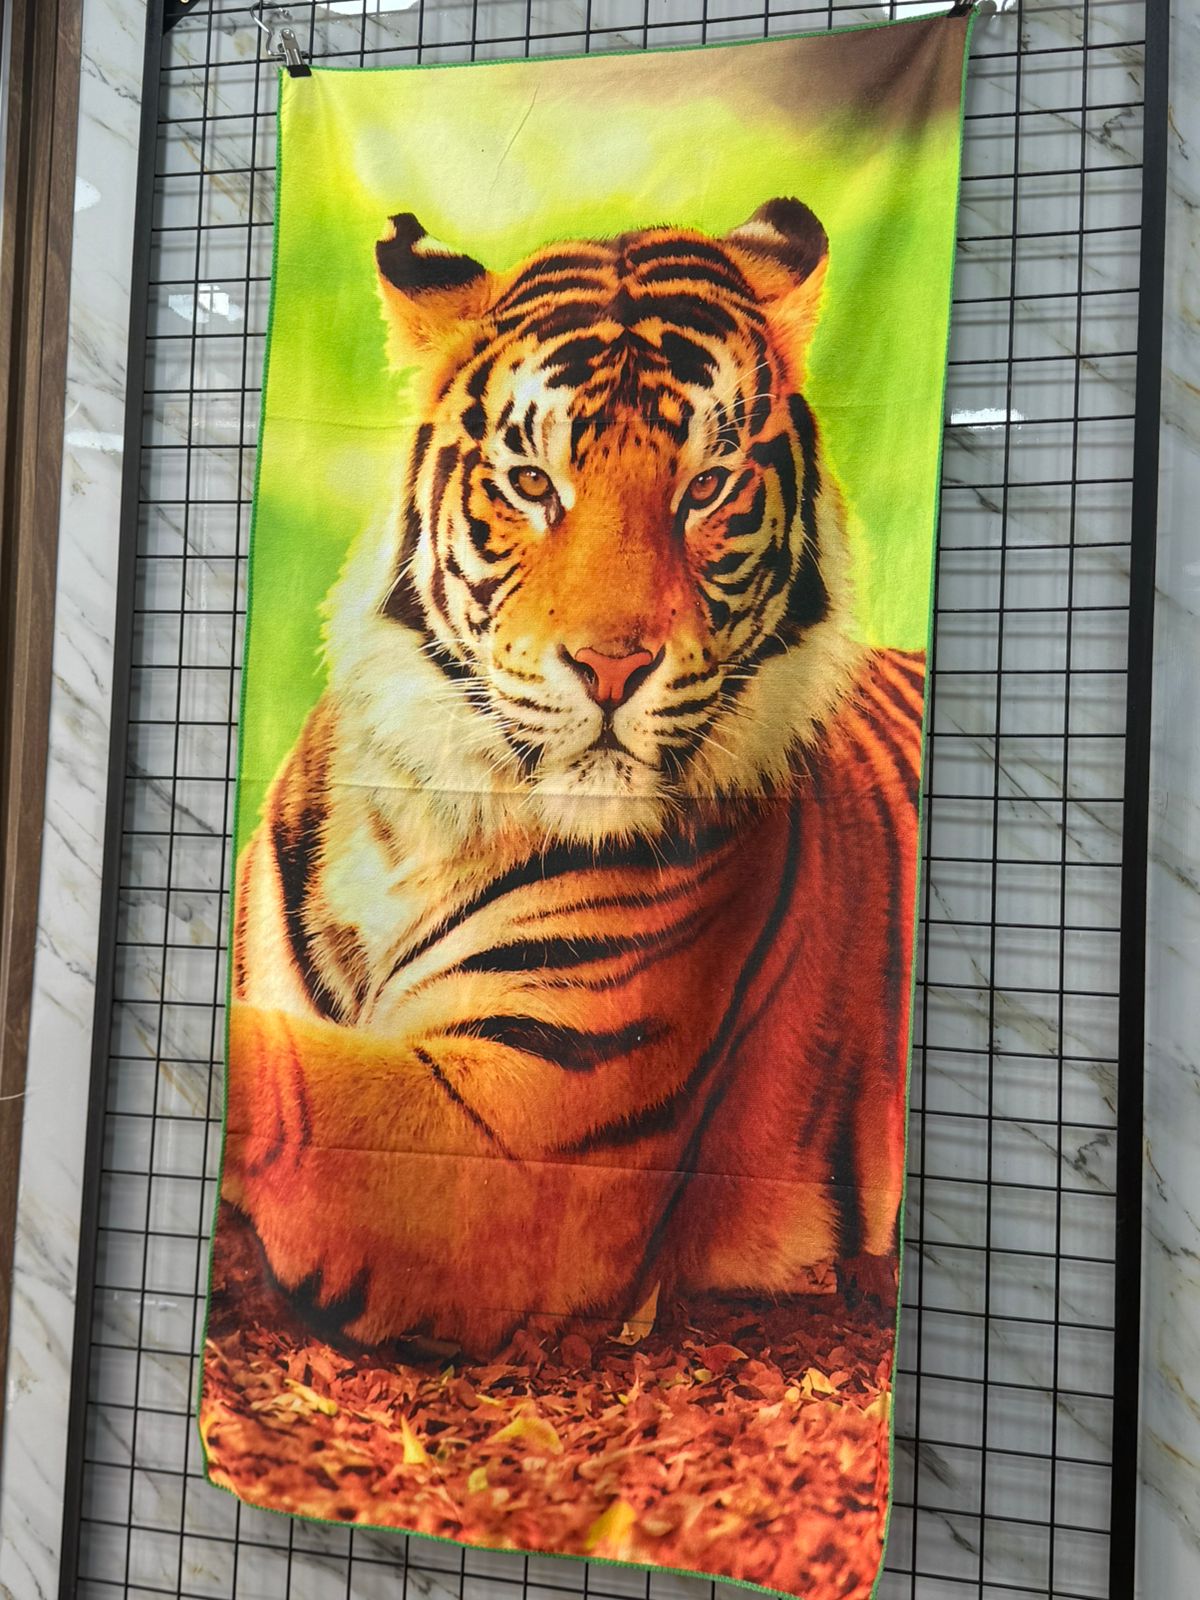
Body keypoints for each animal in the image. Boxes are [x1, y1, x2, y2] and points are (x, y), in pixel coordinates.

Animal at [222, 196, 925, 1360]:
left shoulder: (511, 1134)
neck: (416, 826)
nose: (611, 665)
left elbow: (272, 1079)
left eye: (707, 488)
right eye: (532, 484)